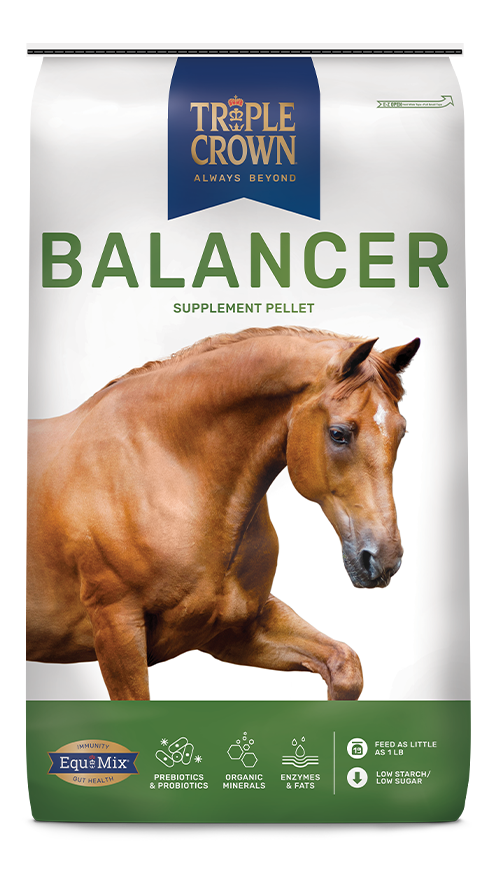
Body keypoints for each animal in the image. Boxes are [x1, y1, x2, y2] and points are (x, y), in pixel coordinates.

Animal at [21, 326, 420, 700]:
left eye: (401, 433)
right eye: (338, 434)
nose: (384, 559)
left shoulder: (234, 628)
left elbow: (345, 666)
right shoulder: (117, 628)